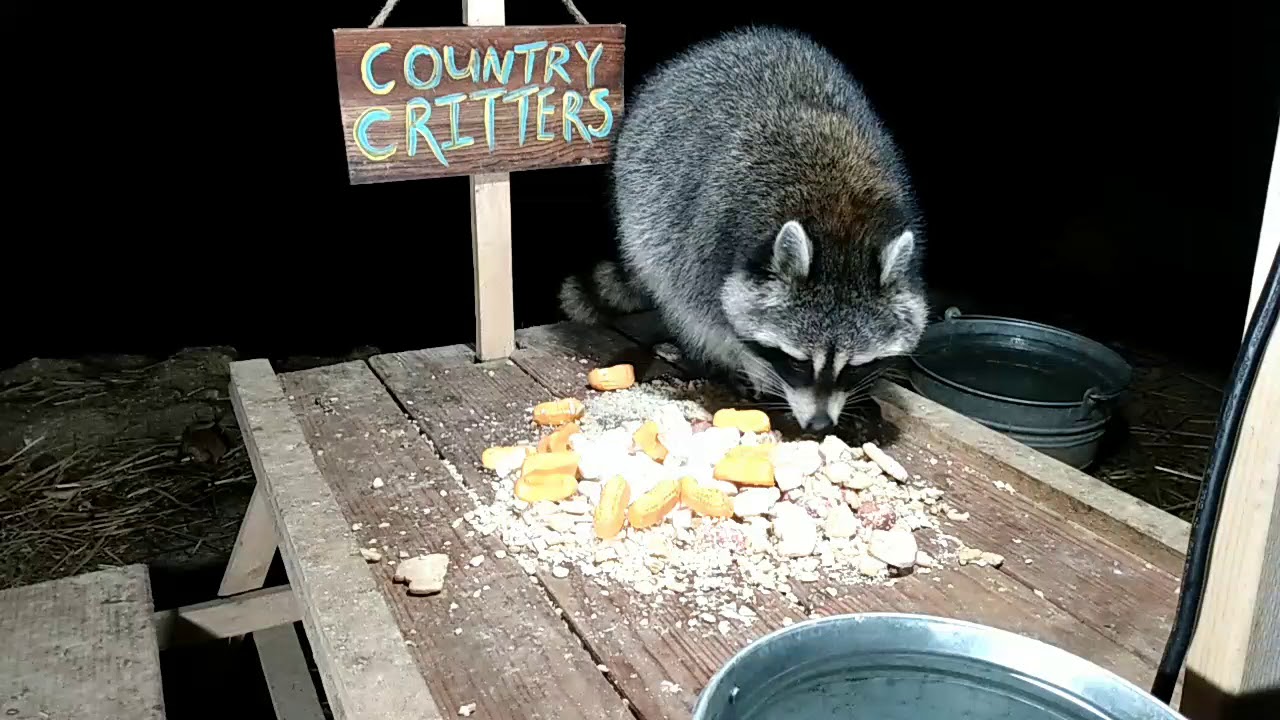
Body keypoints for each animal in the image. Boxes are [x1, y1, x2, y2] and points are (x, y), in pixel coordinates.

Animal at [558, 25, 929, 431]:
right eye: (797, 363)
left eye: (853, 367)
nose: (819, 425)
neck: (840, 218)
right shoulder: (706, 238)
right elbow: (704, 314)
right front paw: (750, 362)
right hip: (642, 192)